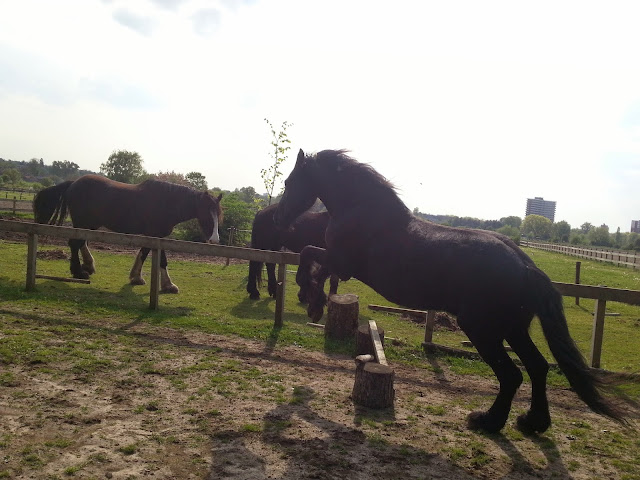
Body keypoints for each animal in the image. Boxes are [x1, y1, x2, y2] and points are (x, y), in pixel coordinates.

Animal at [33, 175, 223, 293]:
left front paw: (137, 277)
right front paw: (167, 285)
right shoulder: (155, 235)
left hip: (89, 225)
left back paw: (88, 265)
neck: (166, 203)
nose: (214, 240)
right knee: (74, 244)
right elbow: (160, 259)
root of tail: (73, 183)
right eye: (207, 215)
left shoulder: (156, 236)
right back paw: (79, 272)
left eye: (219, 214)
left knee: (81, 243)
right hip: (83, 223)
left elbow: (146, 253)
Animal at [273, 149, 633, 434]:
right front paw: (313, 300)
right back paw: (532, 423)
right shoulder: (340, 264)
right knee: (538, 367)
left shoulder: (341, 262)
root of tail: (526, 267)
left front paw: (312, 302)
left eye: (290, 183)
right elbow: (312, 262)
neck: (363, 211)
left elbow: (307, 257)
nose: (280, 217)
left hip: (482, 329)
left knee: (512, 375)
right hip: (514, 329)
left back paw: (487, 421)